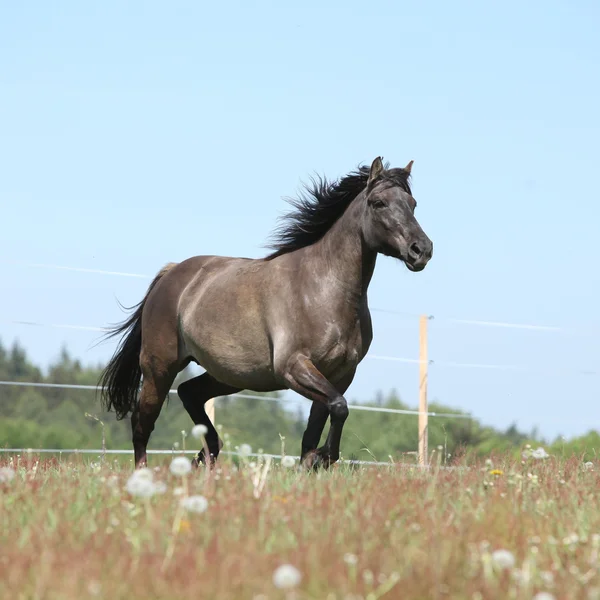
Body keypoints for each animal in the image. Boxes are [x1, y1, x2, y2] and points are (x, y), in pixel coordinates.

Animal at [101, 157, 434, 472]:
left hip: (231, 375)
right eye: (379, 203)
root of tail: (171, 274)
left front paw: (312, 464)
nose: (422, 250)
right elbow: (339, 408)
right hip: (159, 369)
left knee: (189, 393)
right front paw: (324, 458)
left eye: (413, 204)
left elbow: (316, 428)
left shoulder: (340, 375)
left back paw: (203, 459)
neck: (322, 289)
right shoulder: (294, 366)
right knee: (142, 424)